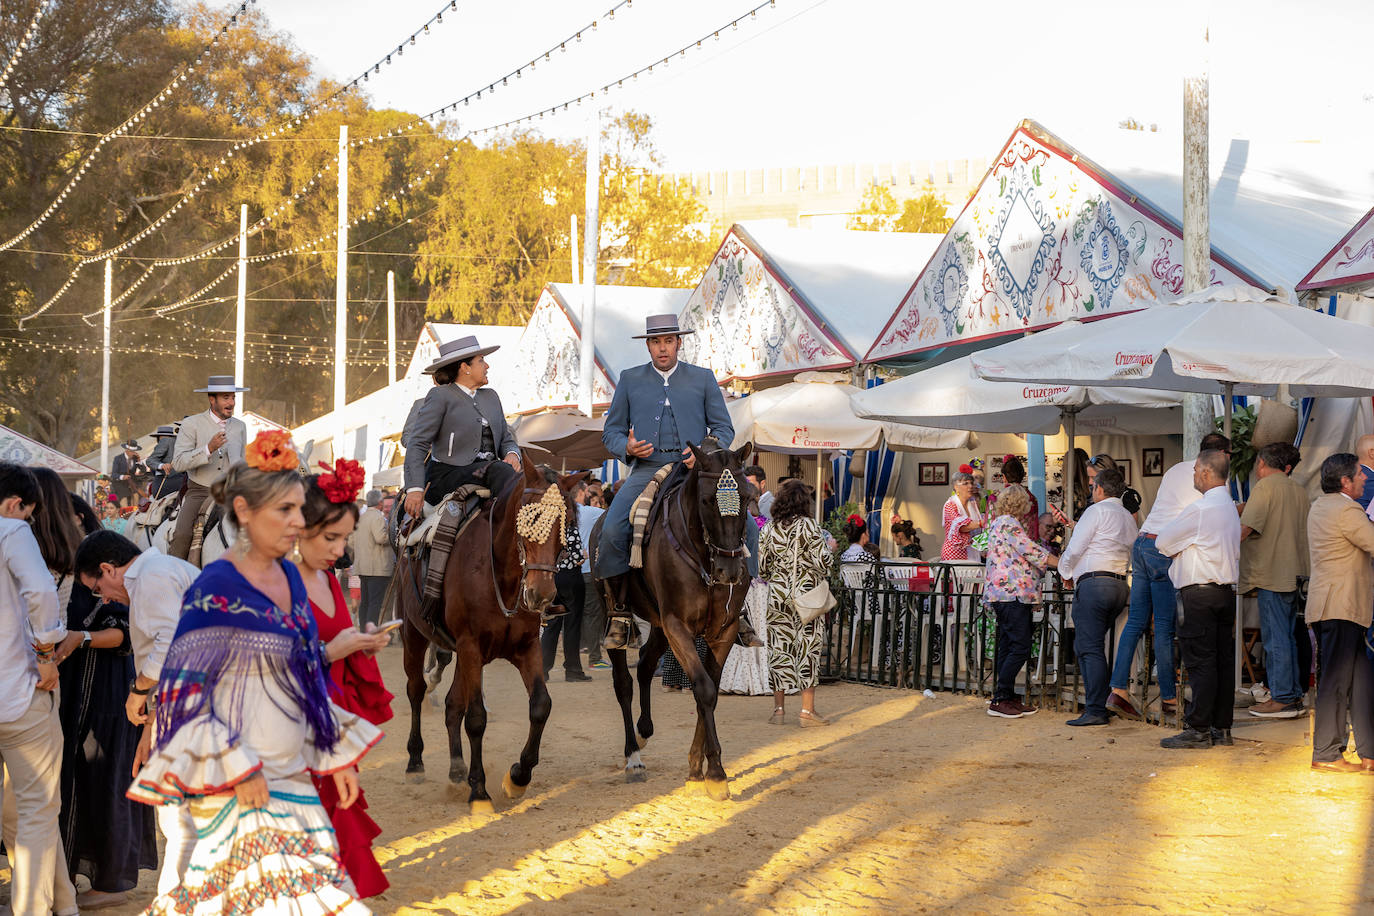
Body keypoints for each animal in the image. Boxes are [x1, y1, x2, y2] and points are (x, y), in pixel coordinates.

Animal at [395, 461, 582, 813]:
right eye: (529, 520)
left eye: (566, 526)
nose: (541, 595)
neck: (504, 577)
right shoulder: (470, 646)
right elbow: (476, 718)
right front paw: (479, 790)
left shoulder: (526, 647)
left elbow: (540, 705)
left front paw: (518, 777)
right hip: (413, 634)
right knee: (416, 690)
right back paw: (415, 761)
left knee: (452, 704)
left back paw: (457, 770)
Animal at [593, 436, 752, 802]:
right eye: (707, 500)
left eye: (748, 496)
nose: (730, 570)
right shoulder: (679, 626)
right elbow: (703, 689)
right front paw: (716, 773)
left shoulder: (723, 631)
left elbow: (709, 693)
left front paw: (696, 767)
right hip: (622, 617)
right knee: (623, 682)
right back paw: (633, 756)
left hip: (659, 625)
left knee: (646, 665)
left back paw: (644, 730)